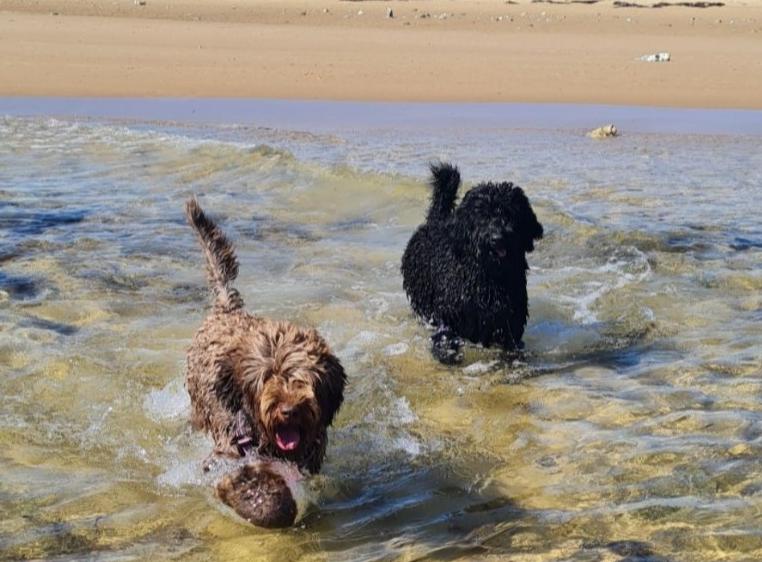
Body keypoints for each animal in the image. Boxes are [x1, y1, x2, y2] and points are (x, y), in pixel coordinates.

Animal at [400, 162, 544, 364]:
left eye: (510, 214)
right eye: (483, 215)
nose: (497, 238)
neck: (489, 276)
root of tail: (436, 219)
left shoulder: (509, 321)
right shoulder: (450, 314)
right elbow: (445, 335)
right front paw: (447, 354)